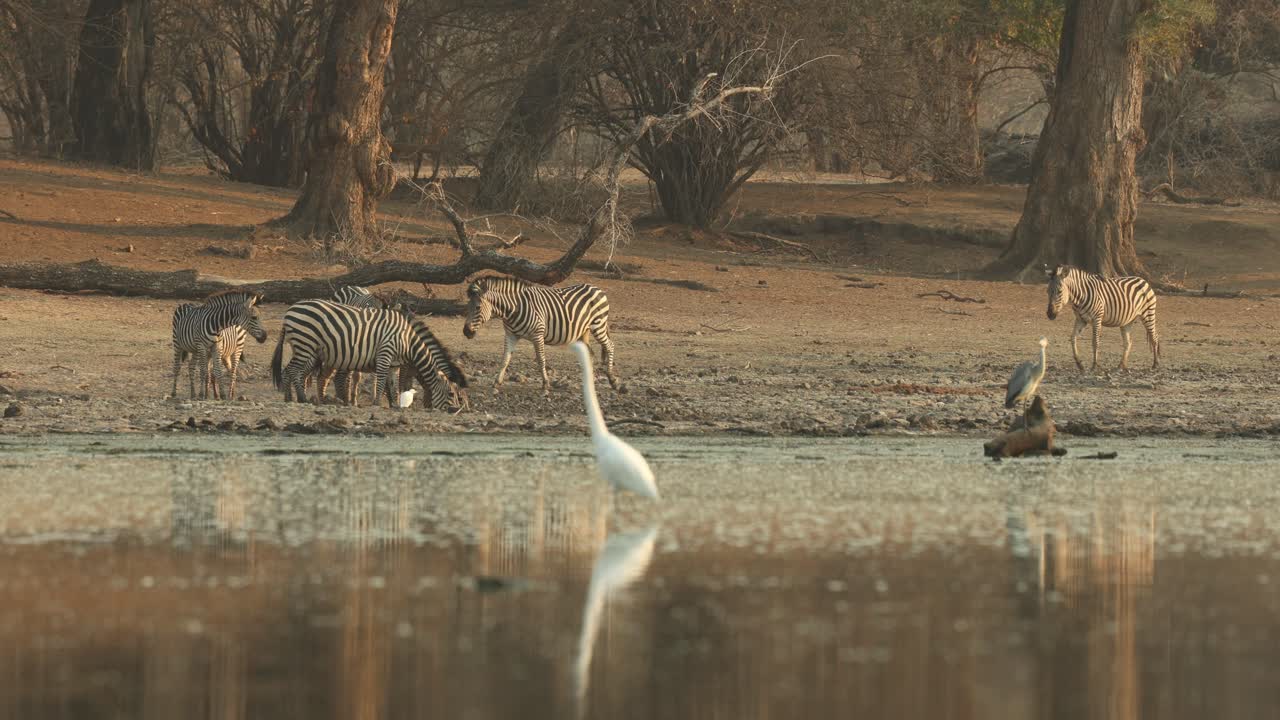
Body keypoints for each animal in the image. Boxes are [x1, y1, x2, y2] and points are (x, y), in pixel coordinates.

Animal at [271, 299, 466, 409]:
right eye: (451, 394)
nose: (454, 411)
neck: (408, 341)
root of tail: (290, 310)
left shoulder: (394, 363)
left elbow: (392, 383)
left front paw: (394, 404)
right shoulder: (385, 353)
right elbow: (382, 381)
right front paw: (378, 403)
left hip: (304, 347)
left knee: (294, 372)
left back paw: (292, 398)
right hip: (306, 344)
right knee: (293, 371)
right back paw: (299, 398)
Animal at [462, 275, 618, 396]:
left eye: (477, 307)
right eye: (467, 306)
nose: (466, 332)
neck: (513, 309)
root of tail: (597, 288)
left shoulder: (538, 334)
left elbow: (541, 360)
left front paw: (545, 384)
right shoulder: (511, 335)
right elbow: (505, 359)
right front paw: (496, 382)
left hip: (598, 325)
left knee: (610, 346)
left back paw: (613, 381)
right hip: (584, 330)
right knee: (590, 353)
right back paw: (588, 381)